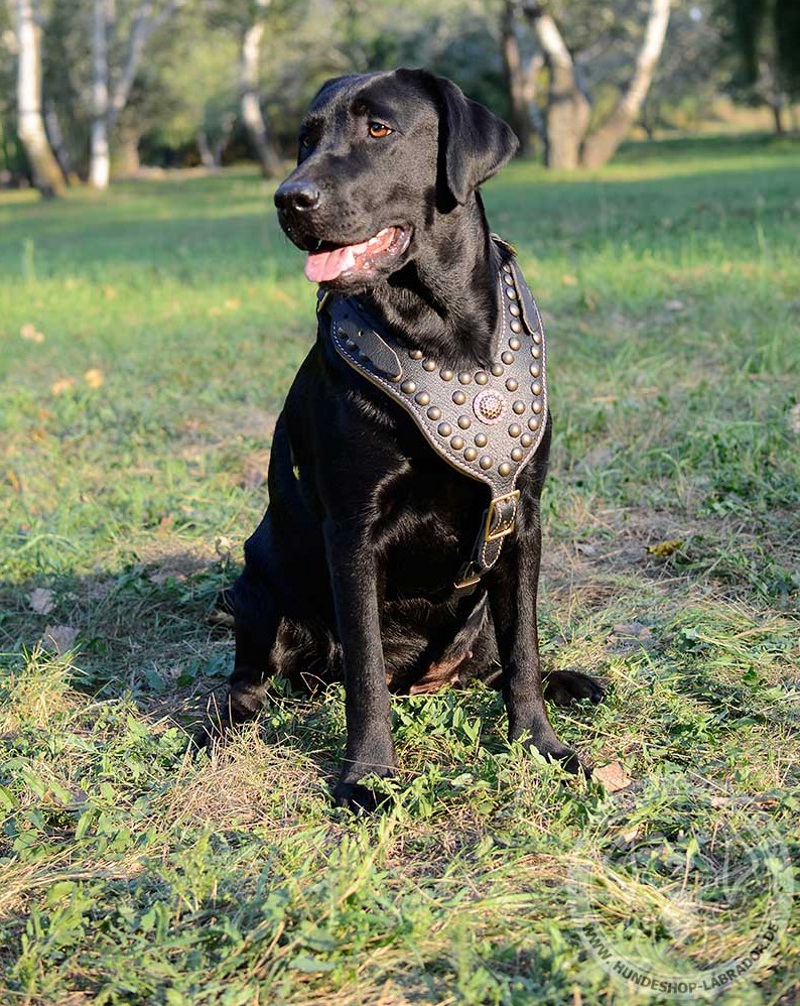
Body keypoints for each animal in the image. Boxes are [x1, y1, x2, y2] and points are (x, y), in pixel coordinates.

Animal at [216, 70, 603, 808]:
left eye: (379, 129)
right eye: (305, 138)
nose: (289, 198)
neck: (439, 331)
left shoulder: (524, 519)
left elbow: (524, 649)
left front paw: (540, 745)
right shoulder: (352, 530)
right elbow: (365, 674)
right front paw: (367, 774)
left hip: (473, 615)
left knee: (495, 661)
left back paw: (570, 683)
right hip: (256, 582)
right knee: (249, 674)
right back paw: (223, 722)